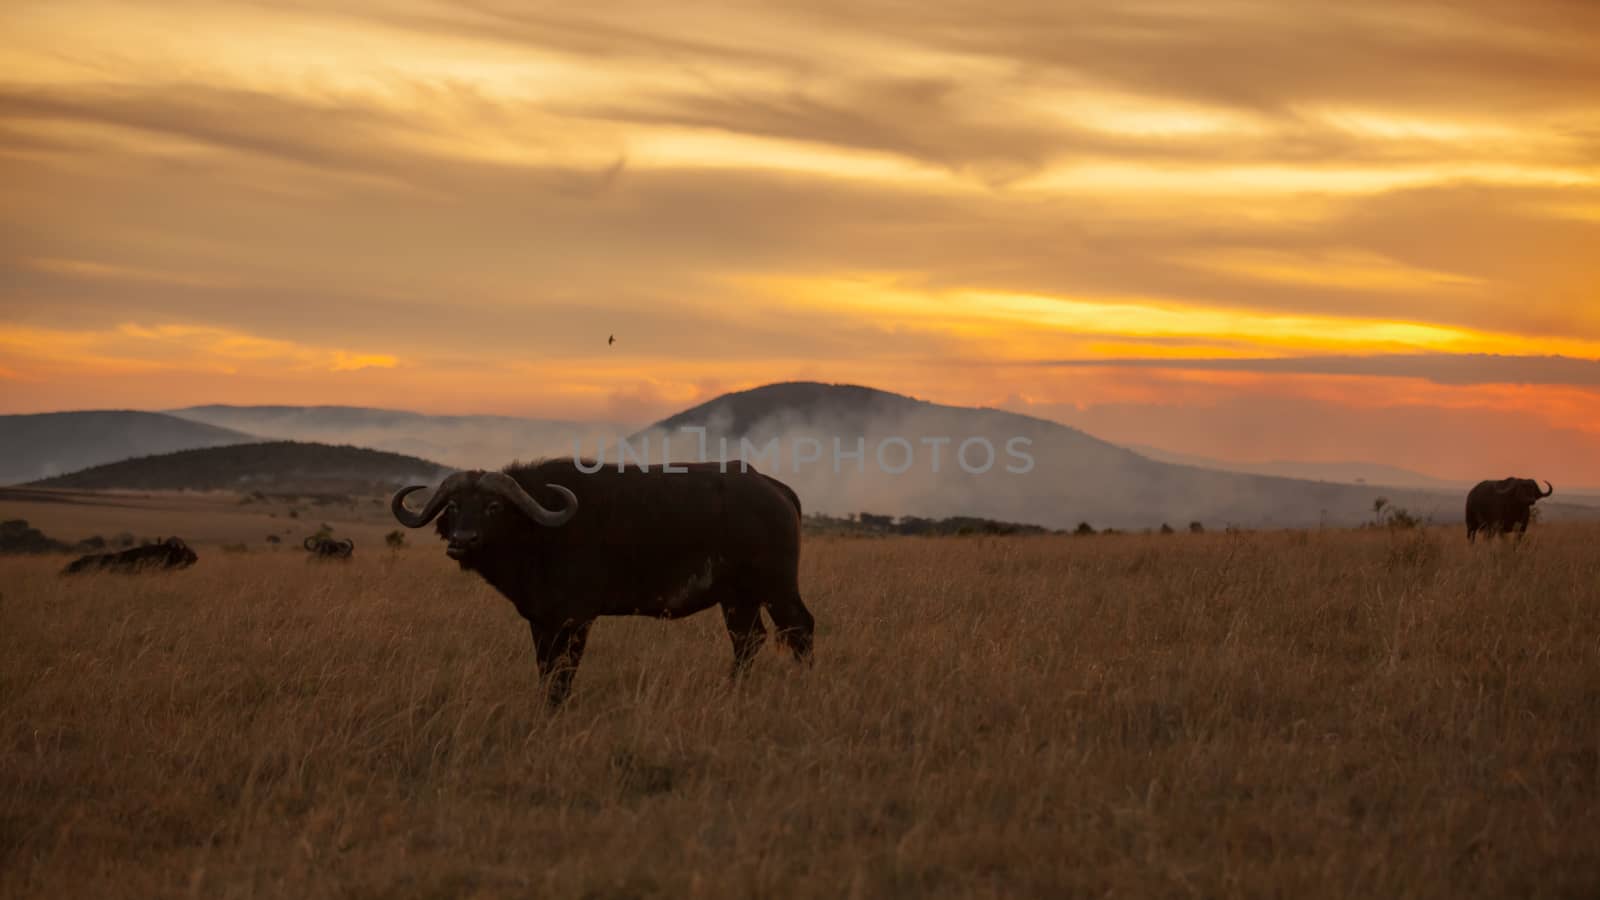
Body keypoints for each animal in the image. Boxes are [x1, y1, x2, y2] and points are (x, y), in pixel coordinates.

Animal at [387, 458, 812, 704]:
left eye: (493, 506)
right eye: (454, 505)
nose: (462, 541)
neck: (542, 532)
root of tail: (776, 490)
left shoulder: (577, 619)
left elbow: (565, 671)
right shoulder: (541, 622)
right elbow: (546, 668)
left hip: (777, 588)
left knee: (800, 629)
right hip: (738, 599)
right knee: (748, 640)